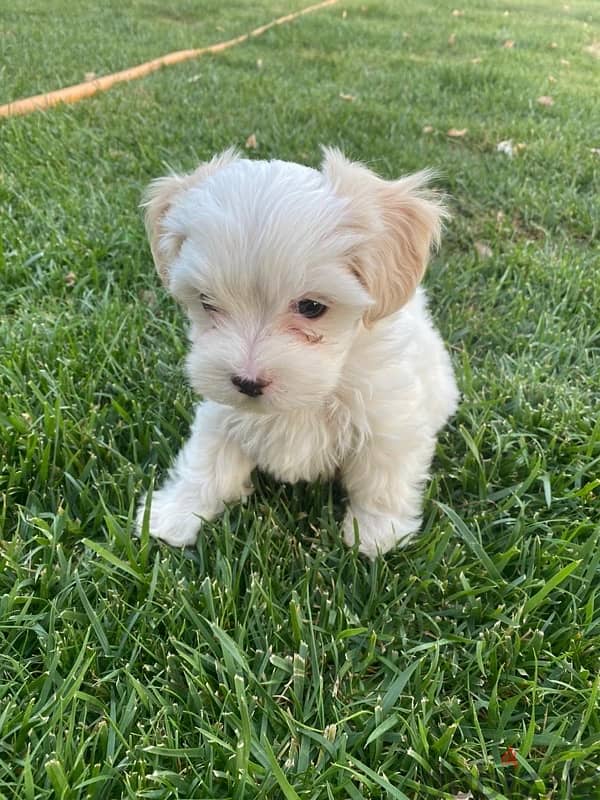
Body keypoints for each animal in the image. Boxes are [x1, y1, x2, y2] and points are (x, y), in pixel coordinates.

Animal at [136, 147, 458, 556]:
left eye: (311, 307)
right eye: (206, 301)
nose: (247, 382)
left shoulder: (390, 419)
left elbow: (383, 476)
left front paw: (376, 533)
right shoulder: (221, 412)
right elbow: (207, 460)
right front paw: (174, 513)